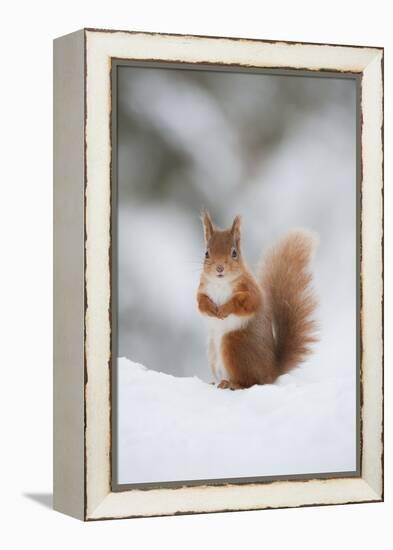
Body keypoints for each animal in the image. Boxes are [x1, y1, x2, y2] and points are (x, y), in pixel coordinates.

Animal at [198, 209, 316, 390]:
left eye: (234, 253)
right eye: (206, 253)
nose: (219, 268)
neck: (220, 283)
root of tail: (271, 372)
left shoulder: (251, 291)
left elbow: (246, 303)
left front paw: (224, 309)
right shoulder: (202, 288)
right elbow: (201, 303)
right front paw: (211, 309)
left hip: (233, 345)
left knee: (250, 381)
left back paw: (232, 383)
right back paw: (216, 382)